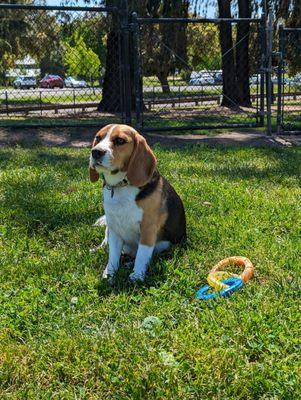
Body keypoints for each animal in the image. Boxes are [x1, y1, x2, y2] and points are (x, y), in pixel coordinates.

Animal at [89, 123, 185, 282]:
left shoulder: (148, 228)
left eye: (120, 140)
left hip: (164, 245)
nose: (96, 152)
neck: (120, 186)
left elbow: (142, 254)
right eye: (98, 138)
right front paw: (110, 273)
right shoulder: (114, 229)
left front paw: (137, 275)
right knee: (107, 242)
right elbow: (113, 255)